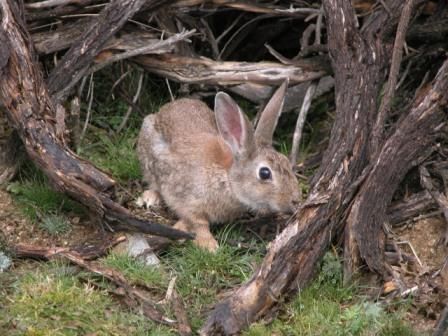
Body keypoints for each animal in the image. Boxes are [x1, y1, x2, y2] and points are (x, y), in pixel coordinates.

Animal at [136, 80, 298, 251]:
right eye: (265, 173)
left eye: (287, 162)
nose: (296, 200)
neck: (227, 178)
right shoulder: (189, 200)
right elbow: (198, 222)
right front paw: (209, 245)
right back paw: (151, 197)